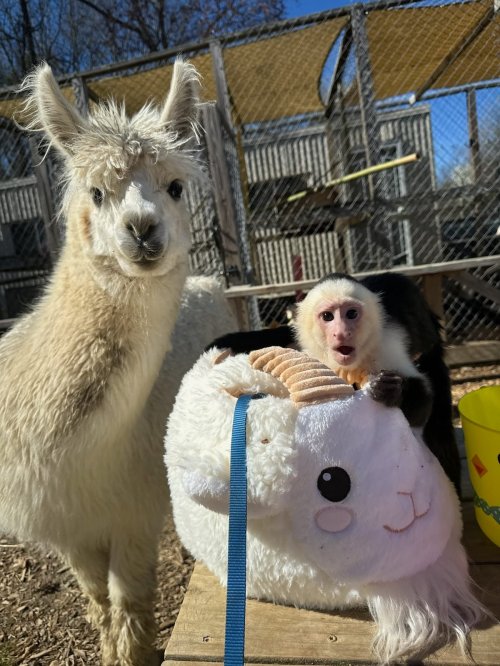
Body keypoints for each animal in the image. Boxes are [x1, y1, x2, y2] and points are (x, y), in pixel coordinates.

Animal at [0, 61, 236, 666]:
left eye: (175, 187)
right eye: (97, 192)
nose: (142, 229)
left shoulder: (133, 512)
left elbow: (129, 608)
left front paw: (130, 652)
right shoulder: (66, 527)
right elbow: (98, 602)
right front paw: (104, 642)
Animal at [294, 272, 461, 496]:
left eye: (351, 314)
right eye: (328, 316)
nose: (341, 333)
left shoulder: (384, 344)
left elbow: (422, 400)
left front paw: (391, 391)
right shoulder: (316, 358)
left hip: (431, 348)